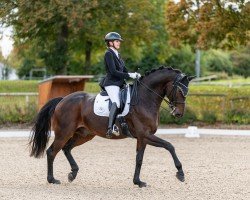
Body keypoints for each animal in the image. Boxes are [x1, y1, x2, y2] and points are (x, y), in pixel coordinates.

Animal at [29, 67, 195, 188]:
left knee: (66, 148)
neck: (144, 99)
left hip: (84, 134)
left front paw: (138, 182)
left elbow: (140, 158)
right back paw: (52, 179)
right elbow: (169, 146)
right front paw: (180, 173)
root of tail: (63, 99)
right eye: (180, 90)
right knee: (52, 151)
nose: (178, 113)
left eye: (187, 91)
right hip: (64, 133)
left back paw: (73, 174)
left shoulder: (142, 138)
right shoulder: (145, 134)